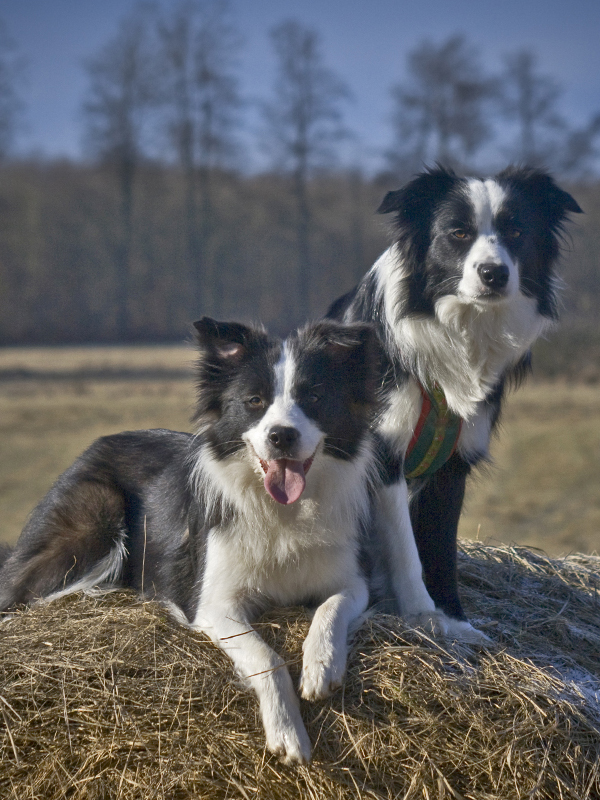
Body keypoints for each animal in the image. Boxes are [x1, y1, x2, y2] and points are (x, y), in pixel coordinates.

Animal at [0, 318, 380, 764]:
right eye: (254, 401)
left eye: (314, 397)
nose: (281, 436)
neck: (282, 511)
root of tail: (96, 444)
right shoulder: (214, 605)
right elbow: (265, 656)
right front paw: (287, 731)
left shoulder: (353, 581)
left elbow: (330, 609)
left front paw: (322, 666)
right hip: (95, 515)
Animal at [328, 166, 580, 640]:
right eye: (458, 233)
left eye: (516, 231)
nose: (493, 273)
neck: (459, 330)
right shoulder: (385, 454)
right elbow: (407, 548)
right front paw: (423, 615)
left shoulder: (453, 462)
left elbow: (441, 548)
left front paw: (456, 622)